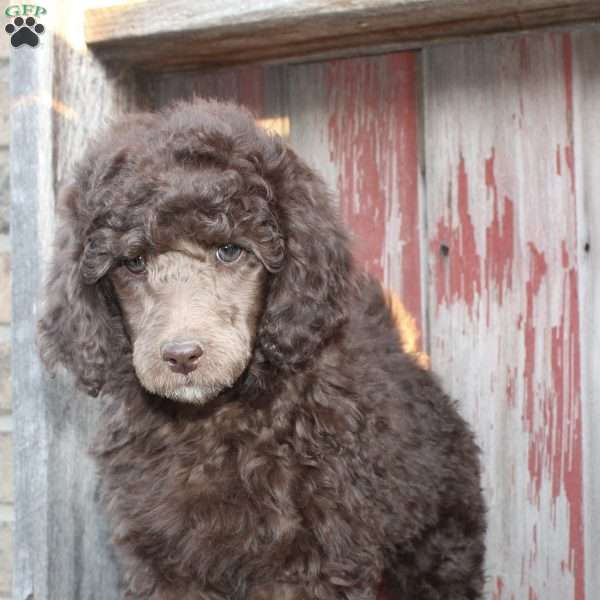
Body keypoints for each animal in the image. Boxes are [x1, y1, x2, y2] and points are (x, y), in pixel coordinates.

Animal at [37, 98, 486, 600]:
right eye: (133, 263)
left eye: (230, 252)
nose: (181, 356)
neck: (211, 420)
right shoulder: (161, 558)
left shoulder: (310, 560)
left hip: (439, 544)